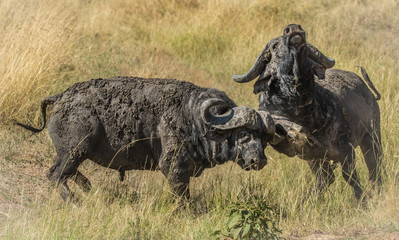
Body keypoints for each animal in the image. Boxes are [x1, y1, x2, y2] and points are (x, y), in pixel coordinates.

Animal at [14, 77, 276, 201]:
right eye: (244, 135)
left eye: (264, 139)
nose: (259, 161)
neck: (195, 119)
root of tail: (61, 97)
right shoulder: (174, 168)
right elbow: (182, 197)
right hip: (74, 150)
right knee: (55, 175)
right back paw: (74, 200)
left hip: (75, 153)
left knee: (68, 174)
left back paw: (88, 189)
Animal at [234, 24, 384, 201]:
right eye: (275, 46)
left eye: (306, 47)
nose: (293, 29)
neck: (302, 110)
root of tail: (367, 91)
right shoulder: (311, 155)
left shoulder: (346, 149)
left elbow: (350, 177)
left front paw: (362, 200)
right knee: (326, 178)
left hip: (371, 136)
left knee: (375, 167)